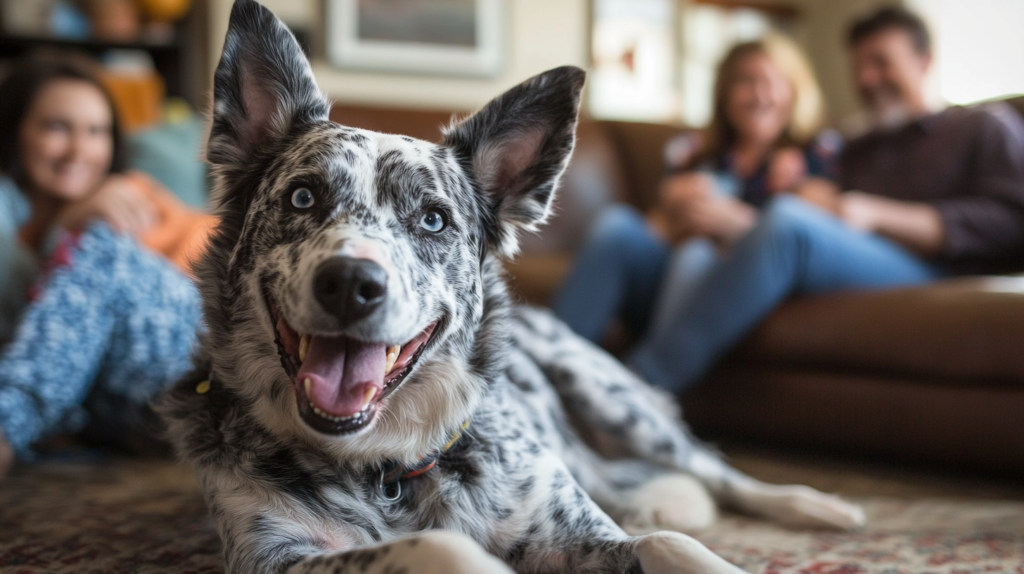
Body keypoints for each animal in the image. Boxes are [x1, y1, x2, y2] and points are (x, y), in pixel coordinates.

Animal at [159, 2, 864, 568]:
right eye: (303, 197)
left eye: (434, 219)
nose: (352, 283)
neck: (388, 466)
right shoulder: (275, 555)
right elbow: (438, 546)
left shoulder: (573, 526)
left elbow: (674, 543)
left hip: (613, 397)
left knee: (719, 471)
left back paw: (819, 507)